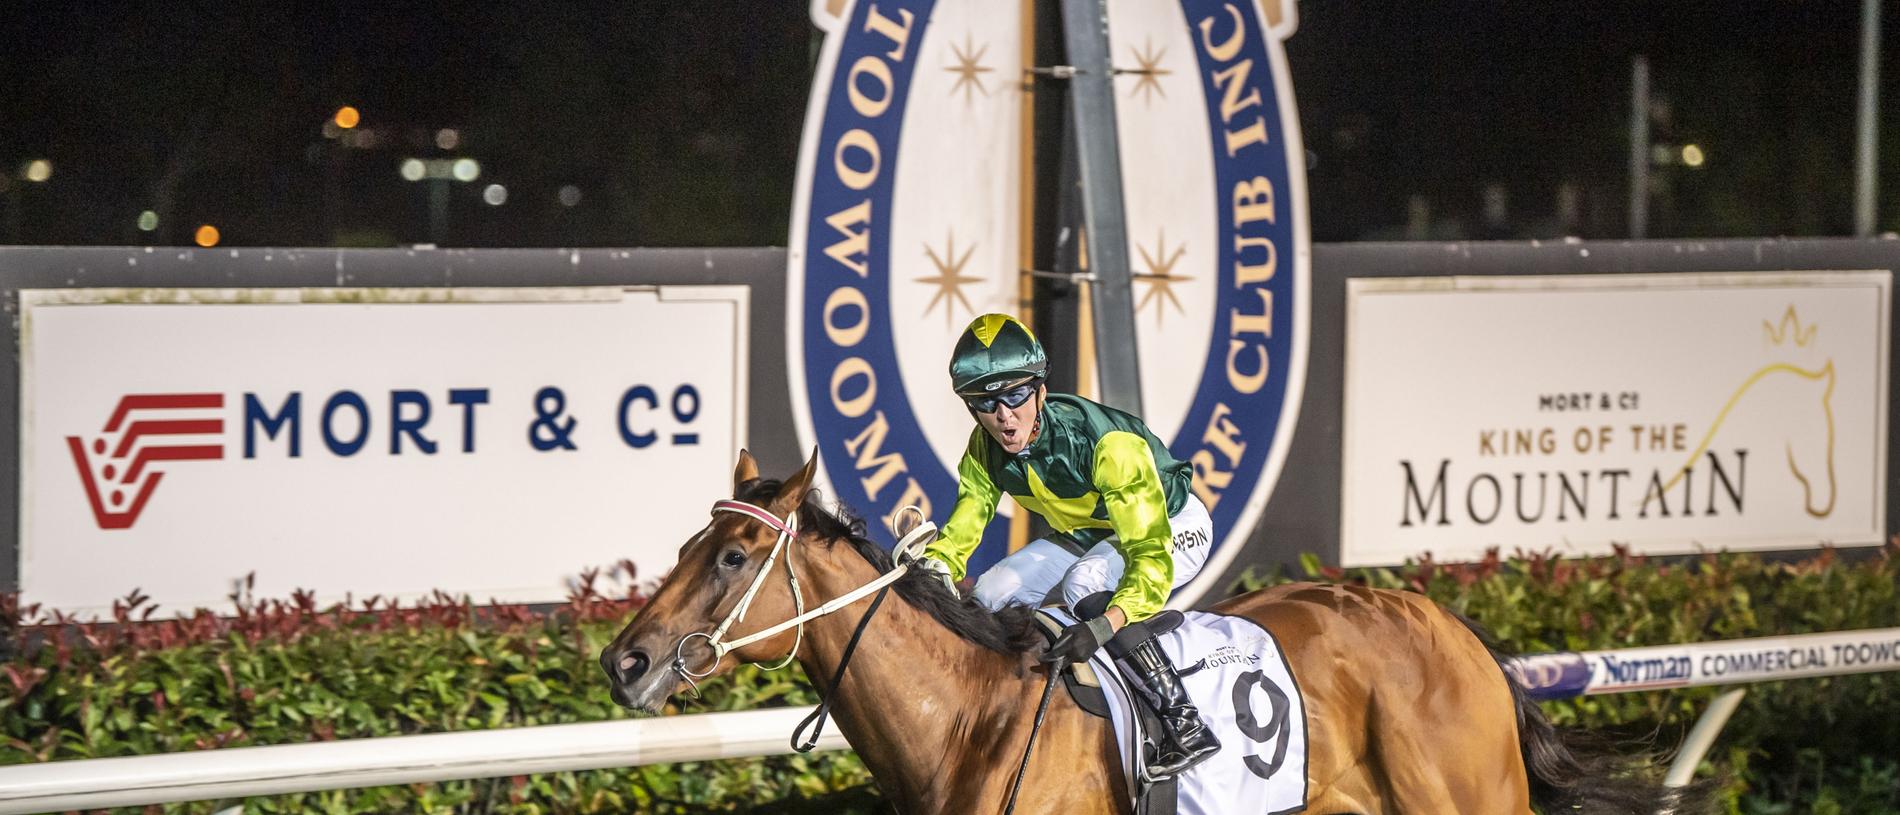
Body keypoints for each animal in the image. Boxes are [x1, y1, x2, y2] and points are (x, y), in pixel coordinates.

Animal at [596, 454, 1694, 809]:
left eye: (733, 556)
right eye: (691, 541)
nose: (624, 658)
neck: (965, 722)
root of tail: (1447, 620)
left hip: (1468, 796)